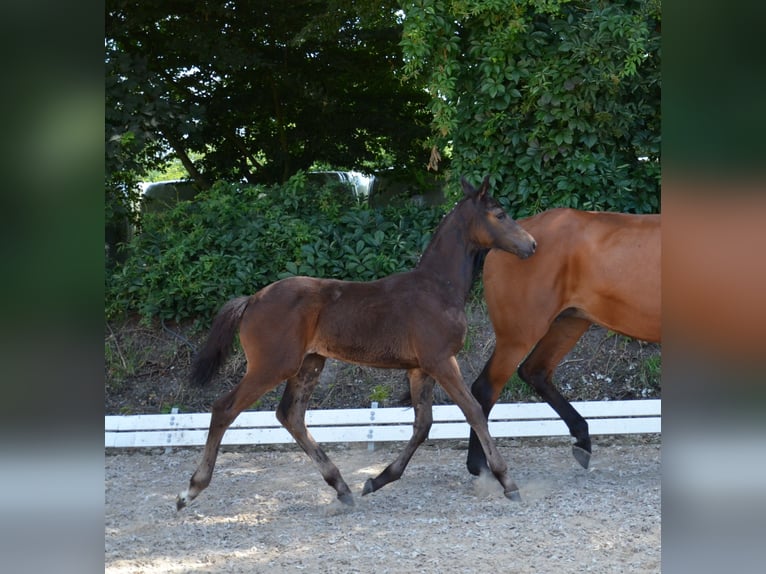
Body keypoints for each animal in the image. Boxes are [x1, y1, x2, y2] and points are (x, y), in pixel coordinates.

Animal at [178, 178, 540, 510]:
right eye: (500, 214)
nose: (532, 245)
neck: (437, 288)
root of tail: (252, 300)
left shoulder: (419, 369)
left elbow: (423, 424)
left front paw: (377, 480)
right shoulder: (441, 361)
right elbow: (473, 411)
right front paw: (507, 481)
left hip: (310, 364)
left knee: (290, 415)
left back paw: (341, 487)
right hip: (273, 365)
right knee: (225, 408)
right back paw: (190, 491)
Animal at [464, 208, 664, 476]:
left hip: (569, 323)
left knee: (534, 371)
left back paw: (582, 441)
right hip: (519, 335)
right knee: (485, 388)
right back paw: (481, 467)